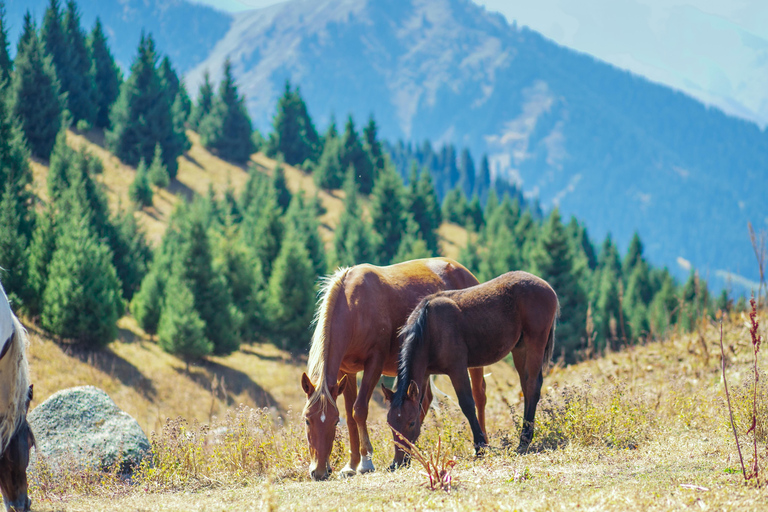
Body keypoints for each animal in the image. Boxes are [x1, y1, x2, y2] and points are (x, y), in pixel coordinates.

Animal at [300, 260, 486, 480]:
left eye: (335, 422)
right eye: (307, 420)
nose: (319, 471)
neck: (355, 307)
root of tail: (464, 271)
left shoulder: (374, 363)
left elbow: (359, 410)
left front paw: (365, 462)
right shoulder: (346, 371)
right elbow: (350, 415)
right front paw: (351, 464)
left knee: (479, 395)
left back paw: (482, 442)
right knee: (424, 400)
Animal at [384, 268, 560, 464]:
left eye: (411, 422)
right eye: (390, 424)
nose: (397, 462)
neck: (428, 328)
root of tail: (546, 286)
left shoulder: (457, 368)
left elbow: (467, 404)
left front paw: (480, 446)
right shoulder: (424, 374)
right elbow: (423, 405)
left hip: (535, 342)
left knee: (532, 386)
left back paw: (525, 440)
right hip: (520, 348)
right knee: (527, 387)